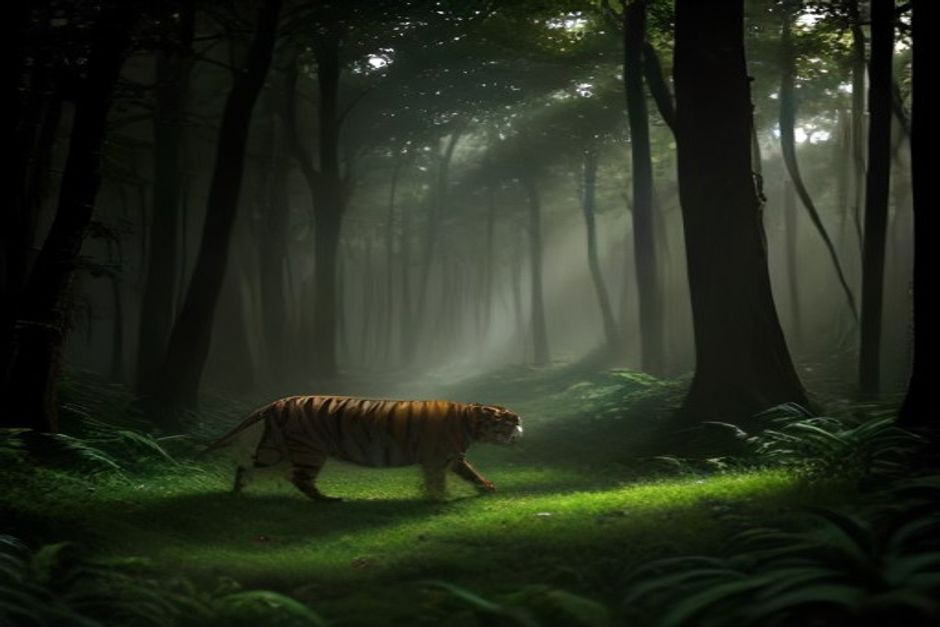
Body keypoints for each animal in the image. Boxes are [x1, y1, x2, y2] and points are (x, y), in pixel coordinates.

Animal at [203, 395, 523, 502]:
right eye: (508, 418)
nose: (521, 422)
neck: (471, 421)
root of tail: (277, 403)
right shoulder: (437, 458)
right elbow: (437, 480)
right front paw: (438, 499)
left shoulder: (454, 457)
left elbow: (472, 473)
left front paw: (487, 488)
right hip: (309, 451)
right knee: (299, 478)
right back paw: (328, 500)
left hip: (275, 449)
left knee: (246, 465)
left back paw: (238, 491)